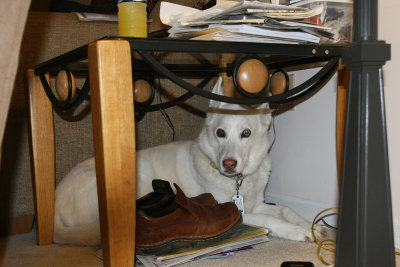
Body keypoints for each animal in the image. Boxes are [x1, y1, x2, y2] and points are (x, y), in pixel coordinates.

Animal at [53, 76, 324, 246]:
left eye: (246, 133)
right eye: (220, 133)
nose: (228, 164)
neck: (237, 182)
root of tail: (53, 204)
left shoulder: (256, 204)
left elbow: (285, 209)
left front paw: (310, 224)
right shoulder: (237, 212)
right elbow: (271, 220)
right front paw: (298, 231)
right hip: (140, 174)